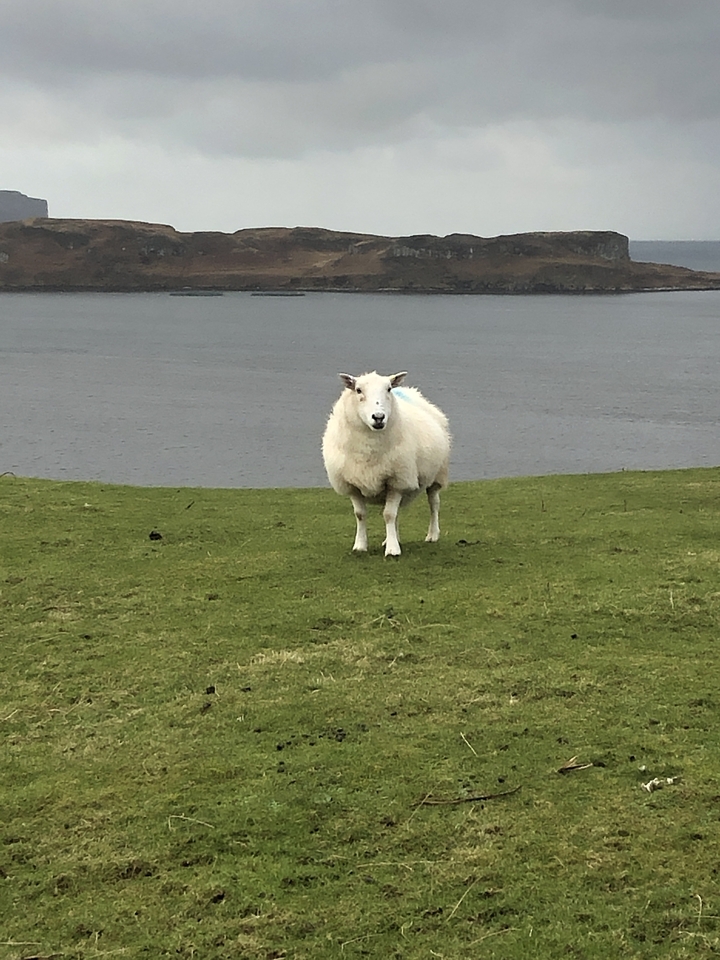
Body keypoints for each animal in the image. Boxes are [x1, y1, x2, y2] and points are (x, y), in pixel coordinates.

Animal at [322, 370, 451, 556]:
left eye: (388, 389)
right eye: (358, 390)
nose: (378, 417)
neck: (369, 447)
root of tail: (410, 391)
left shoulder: (397, 480)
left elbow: (389, 515)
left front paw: (392, 550)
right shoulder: (352, 484)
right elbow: (361, 514)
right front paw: (360, 545)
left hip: (437, 475)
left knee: (433, 503)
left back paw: (432, 534)